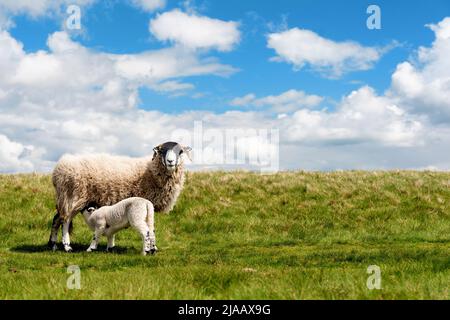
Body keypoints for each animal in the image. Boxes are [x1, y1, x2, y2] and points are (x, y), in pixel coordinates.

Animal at [48, 142, 192, 252]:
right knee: (65, 221)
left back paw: (53, 244)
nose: (170, 161)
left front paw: (153, 247)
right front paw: (151, 247)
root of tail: (59, 167)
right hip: (73, 197)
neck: (151, 170)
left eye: (180, 151)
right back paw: (67, 247)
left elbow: (151, 226)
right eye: (162, 151)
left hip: (67, 199)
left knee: (57, 219)